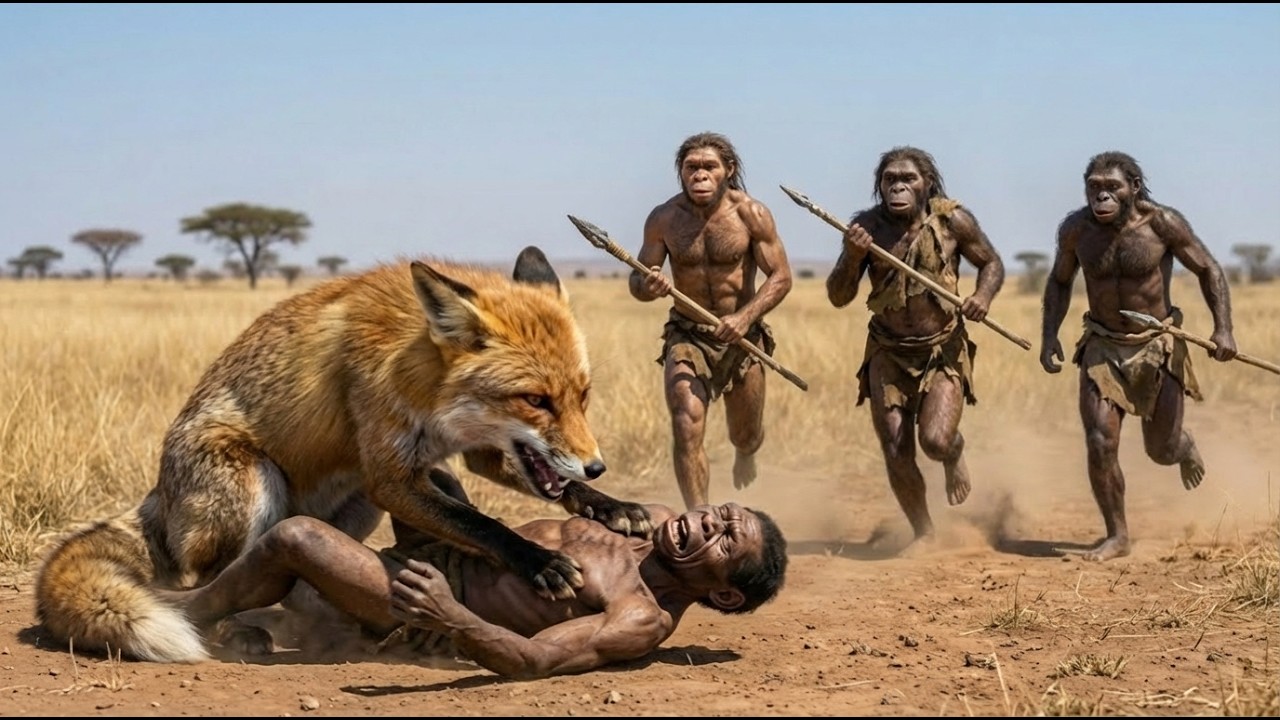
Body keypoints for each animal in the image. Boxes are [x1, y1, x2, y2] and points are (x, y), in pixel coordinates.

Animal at [34, 245, 653, 663]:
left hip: (356, 503)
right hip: (258, 485)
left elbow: (541, 495)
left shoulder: (469, 457)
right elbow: (484, 525)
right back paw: (238, 631)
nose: (597, 463)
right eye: (535, 400)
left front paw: (611, 506)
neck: (425, 382)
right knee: (200, 582)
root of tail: (159, 495)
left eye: (582, 396)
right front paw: (540, 561)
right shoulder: (390, 475)